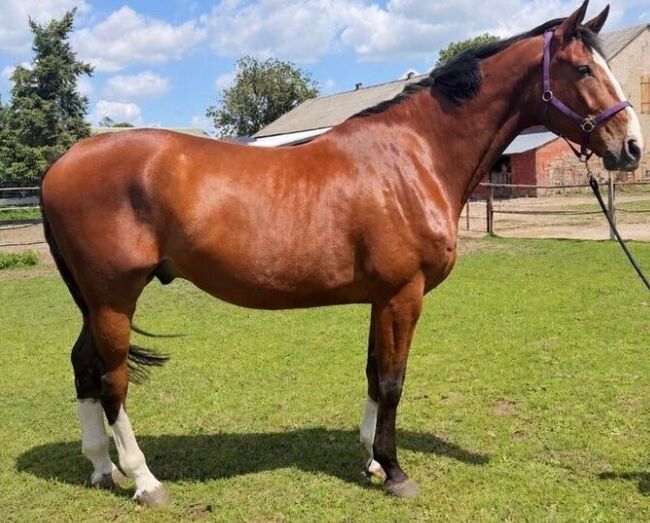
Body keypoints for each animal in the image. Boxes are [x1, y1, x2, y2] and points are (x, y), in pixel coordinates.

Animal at [40, 1, 643, 505]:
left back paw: (102, 469)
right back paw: (143, 480)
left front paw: (373, 461)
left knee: (83, 366)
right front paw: (396, 472)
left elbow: (375, 373)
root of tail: (60, 165)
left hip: (98, 303)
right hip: (115, 298)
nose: (632, 148)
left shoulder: (383, 297)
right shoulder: (404, 294)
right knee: (112, 380)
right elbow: (394, 380)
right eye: (583, 70)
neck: (413, 155)